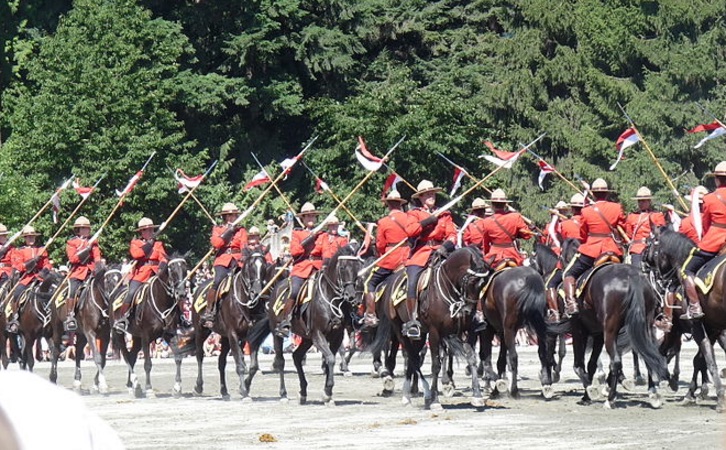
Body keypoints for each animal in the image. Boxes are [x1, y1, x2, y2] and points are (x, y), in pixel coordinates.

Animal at [112, 256, 188, 398]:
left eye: (185, 269)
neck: (161, 301)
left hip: (136, 337)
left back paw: (133, 386)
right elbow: (147, 363)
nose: (181, 294)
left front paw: (177, 388)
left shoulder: (170, 334)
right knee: (126, 356)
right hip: (119, 334)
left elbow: (178, 358)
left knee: (131, 357)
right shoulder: (146, 337)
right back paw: (135, 383)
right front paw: (149, 389)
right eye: (172, 270)